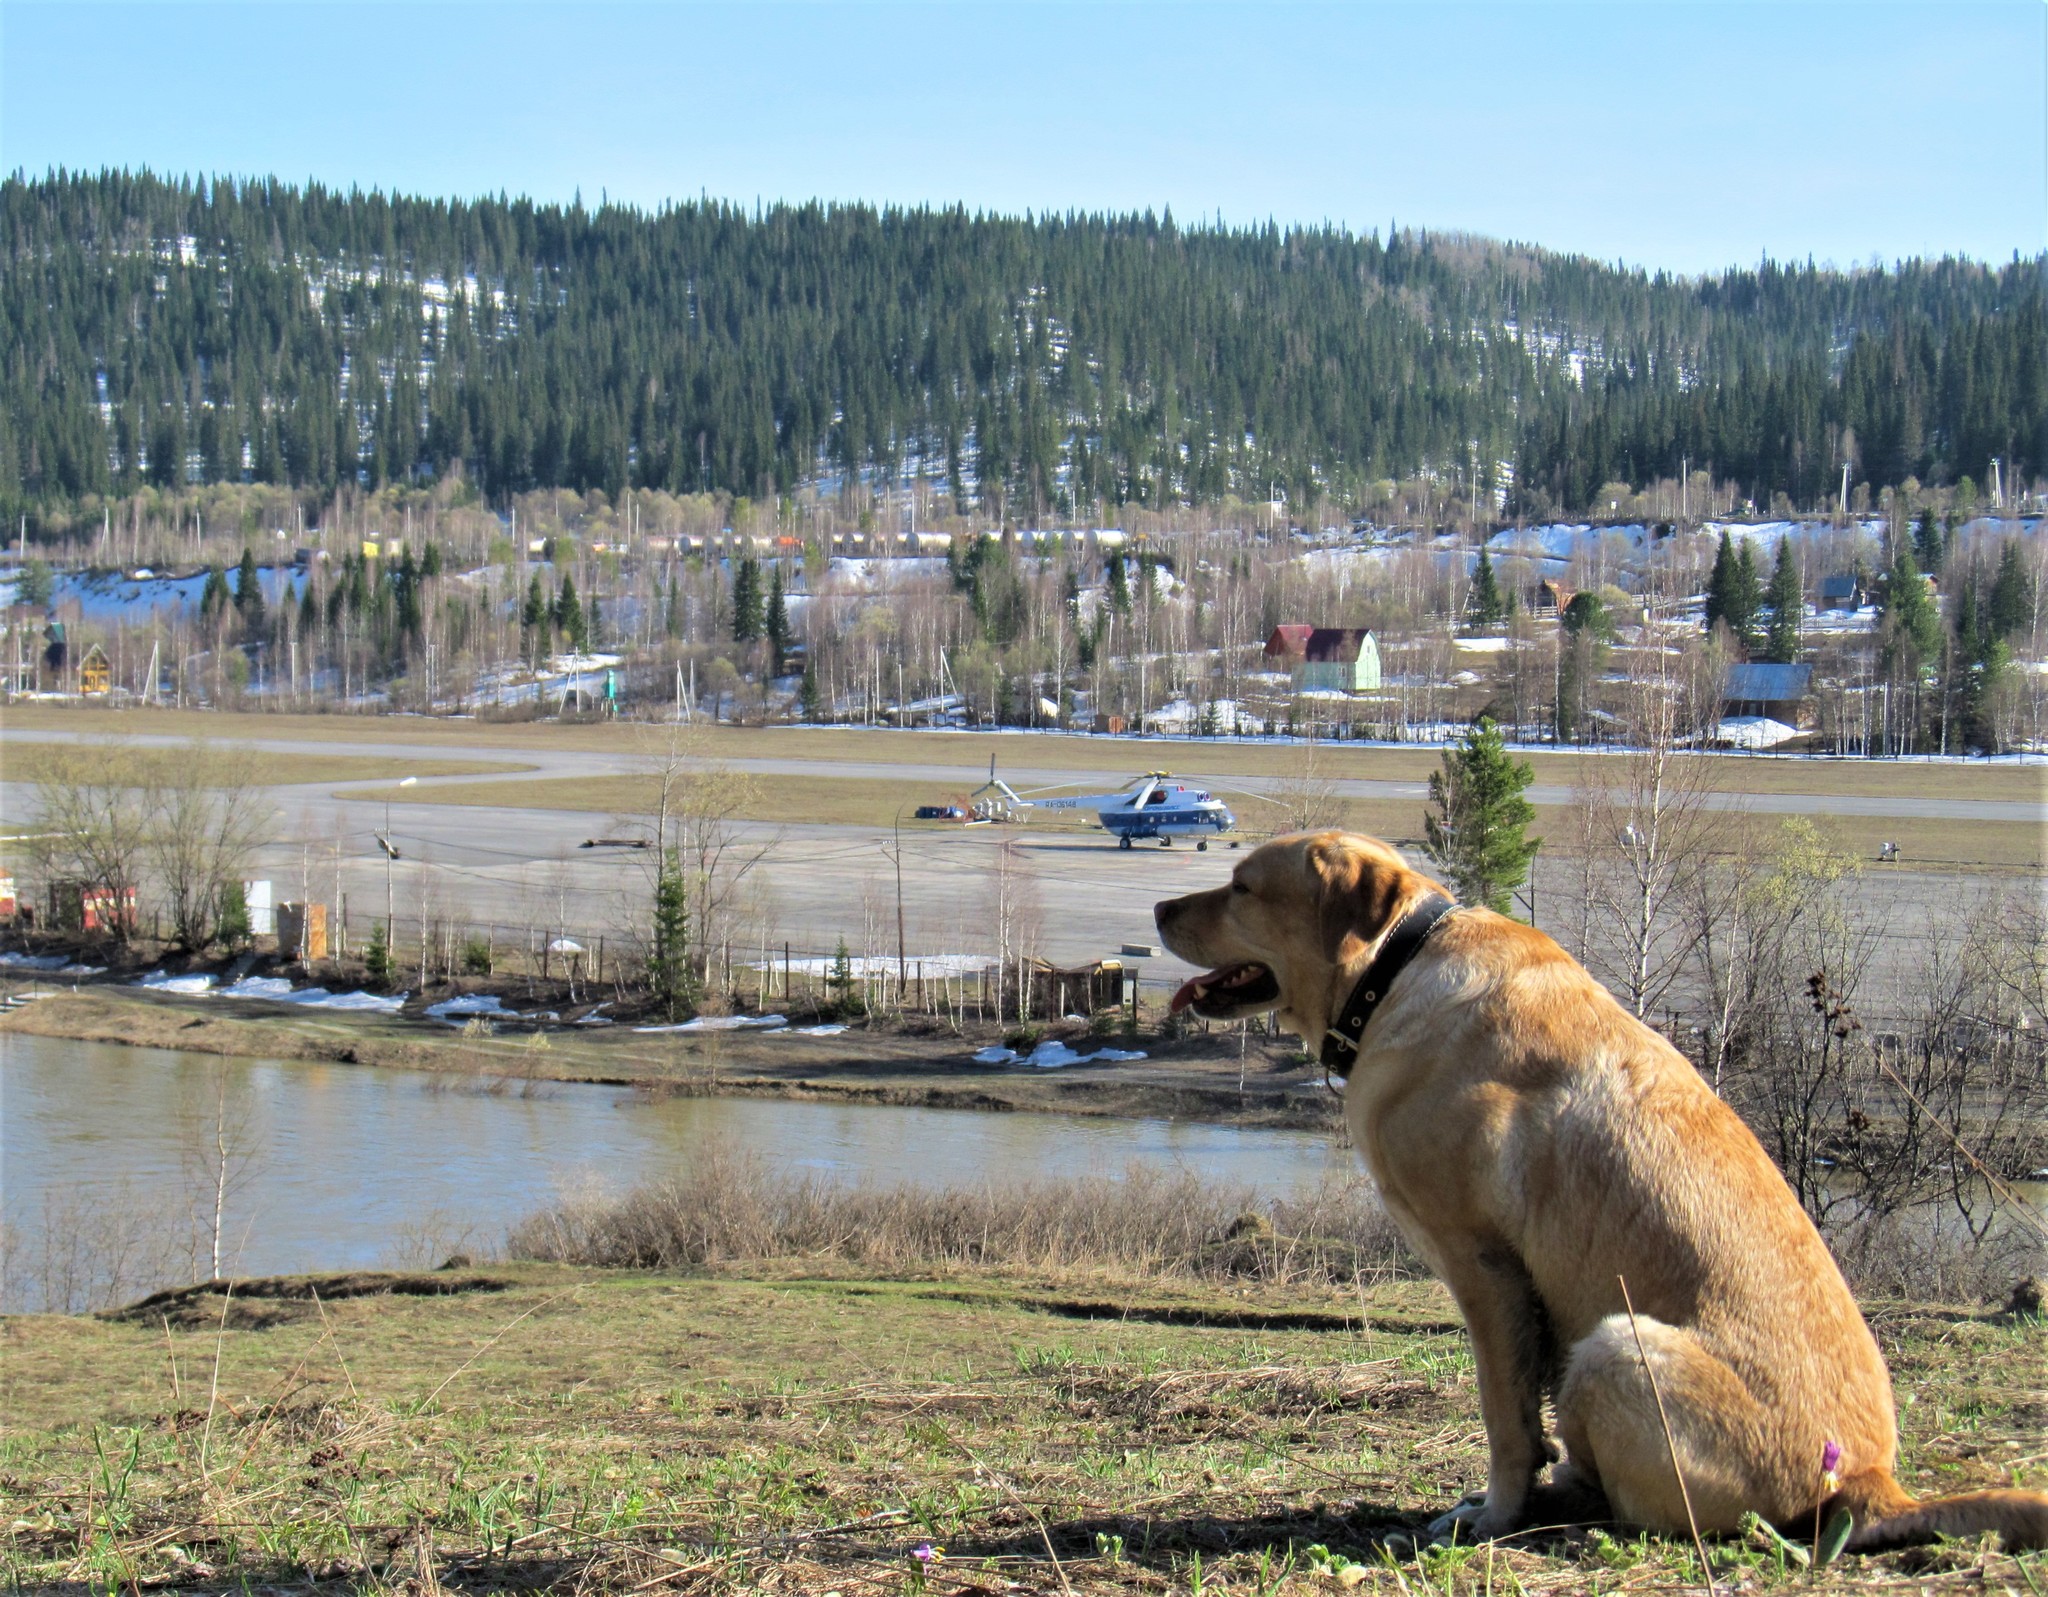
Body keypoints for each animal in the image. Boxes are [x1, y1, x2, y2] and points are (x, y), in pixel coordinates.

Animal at [1163, 831, 2039, 1556]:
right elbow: (1526, 1414)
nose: (1161, 906)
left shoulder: (1486, 1266)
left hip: (1617, 1343)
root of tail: (1869, 1482)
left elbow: (1506, 1417)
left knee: (1647, 1510)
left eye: (1242, 886)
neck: (1394, 971)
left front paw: (1495, 1513)